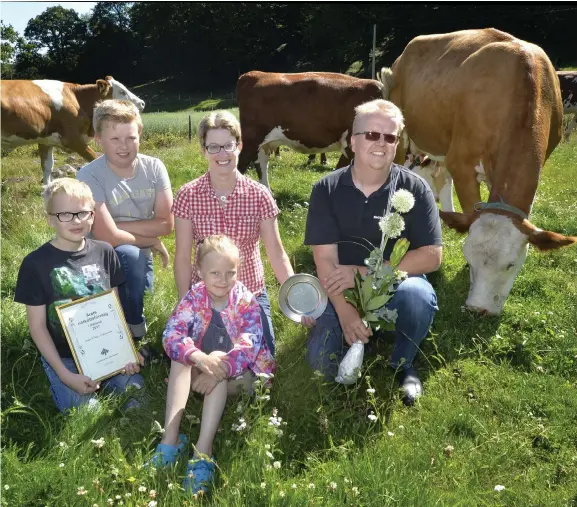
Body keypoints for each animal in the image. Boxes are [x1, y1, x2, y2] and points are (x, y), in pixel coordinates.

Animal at [1, 76, 145, 184]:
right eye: (122, 92)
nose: (142, 103)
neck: (77, 100)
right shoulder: (74, 139)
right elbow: (94, 160)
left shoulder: (45, 140)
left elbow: (47, 167)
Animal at [380, 27, 572, 316]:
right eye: (469, 258)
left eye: (511, 264)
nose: (476, 309)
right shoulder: (462, 163)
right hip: (402, 135)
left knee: (442, 181)